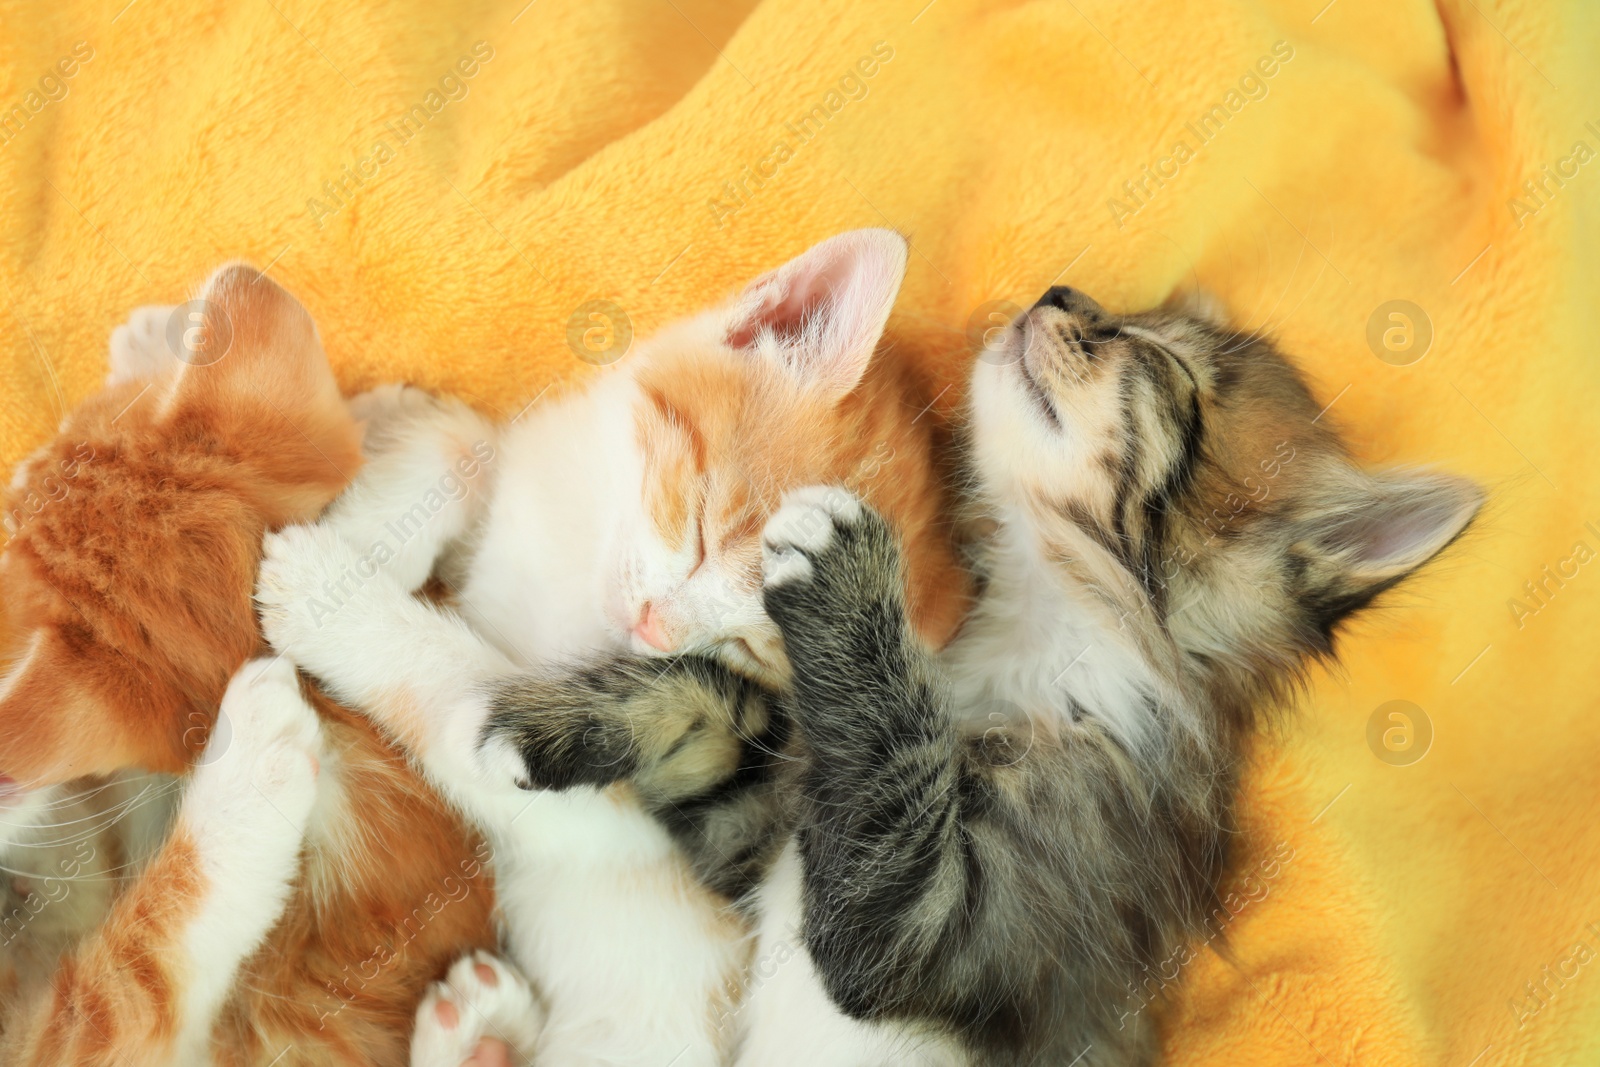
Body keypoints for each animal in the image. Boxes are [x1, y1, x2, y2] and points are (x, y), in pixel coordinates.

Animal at [256, 233, 966, 1067]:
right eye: (702, 527)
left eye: (755, 645)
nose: (657, 629)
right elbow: (462, 439)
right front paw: (374, 522)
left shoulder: (619, 813)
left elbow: (464, 697)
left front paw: (327, 592)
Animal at [467, 287, 1478, 1062]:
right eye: (1118, 313)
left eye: (1167, 368)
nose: (1061, 294)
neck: (1023, 644)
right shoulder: (760, 835)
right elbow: (715, 712)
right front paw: (549, 732)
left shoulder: (958, 921)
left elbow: (884, 850)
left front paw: (850, 577)